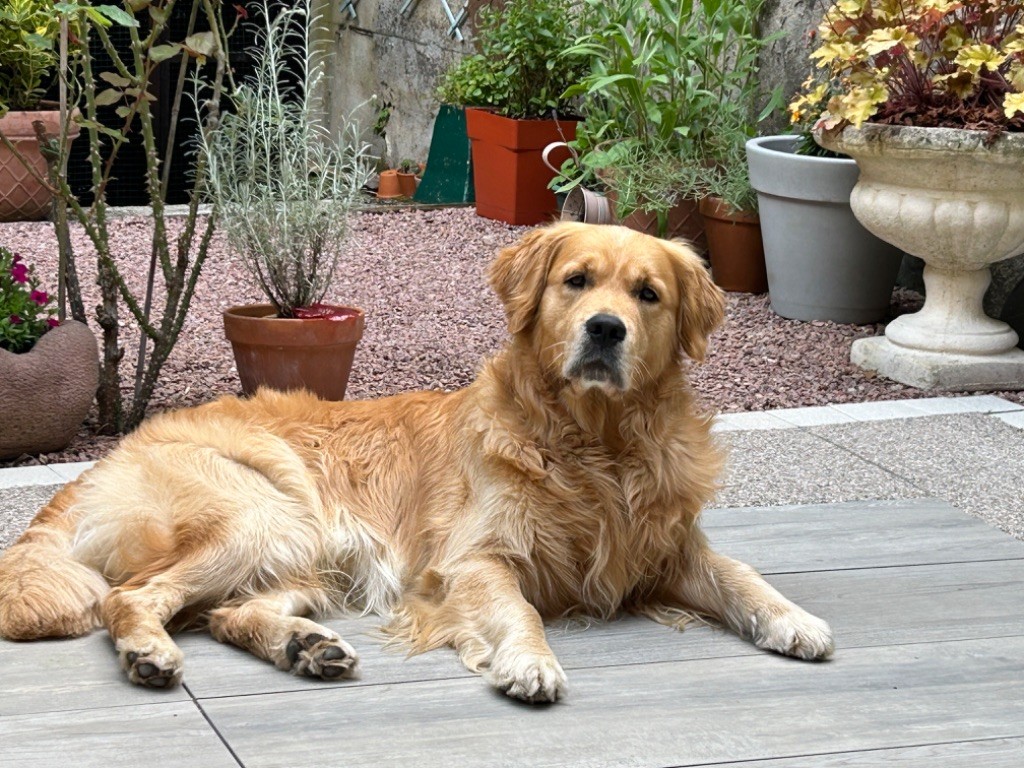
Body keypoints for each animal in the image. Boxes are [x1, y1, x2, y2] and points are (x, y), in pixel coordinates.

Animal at [0, 224, 831, 704]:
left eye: (648, 294)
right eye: (576, 281)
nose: (605, 329)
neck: (596, 444)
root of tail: (109, 455)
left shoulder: (669, 547)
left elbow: (740, 575)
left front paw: (792, 618)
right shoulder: (472, 560)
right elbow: (518, 608)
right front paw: (530, 662)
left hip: (300, 549)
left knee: (229, 613)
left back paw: (305, 647)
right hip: (261, 514)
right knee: (133, 597)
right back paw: (150, 651)